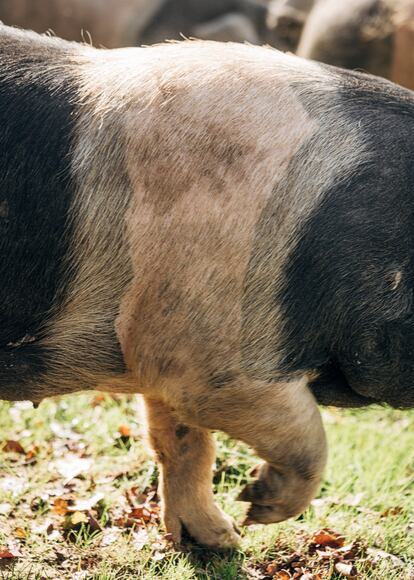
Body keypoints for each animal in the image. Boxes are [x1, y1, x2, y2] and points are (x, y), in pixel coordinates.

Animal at [0, 23, 414, 548]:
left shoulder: (158, 335)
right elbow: (301, 433)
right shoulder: (197, 347)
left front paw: (221, 541)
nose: (239, 523)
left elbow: (183, 442)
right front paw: (256, 509)